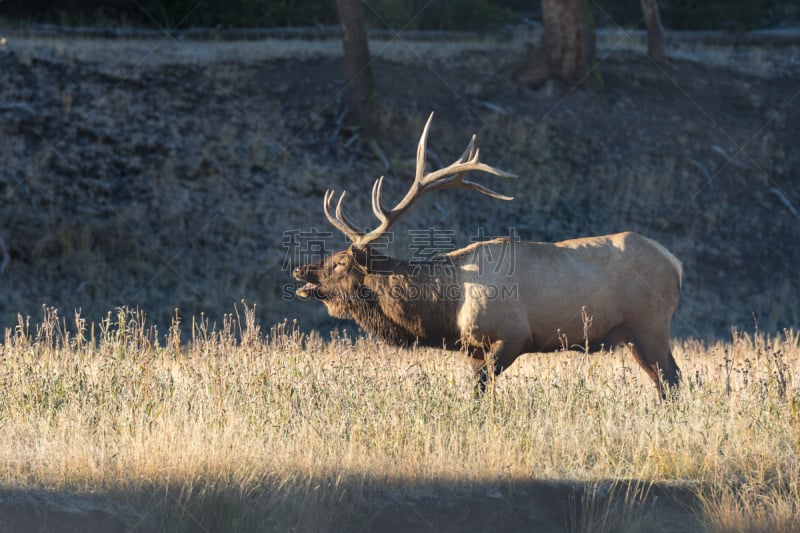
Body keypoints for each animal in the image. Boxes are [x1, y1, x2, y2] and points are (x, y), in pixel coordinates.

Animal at [294, 113, 680, 394]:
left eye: (340, 262)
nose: (301, 270)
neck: (448, 311)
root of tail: (676, 263)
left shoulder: (511, 336)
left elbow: (479, 392)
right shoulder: (474, 349)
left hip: (651, 323)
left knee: (674, 379)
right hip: (630, 334)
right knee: (663, 382)